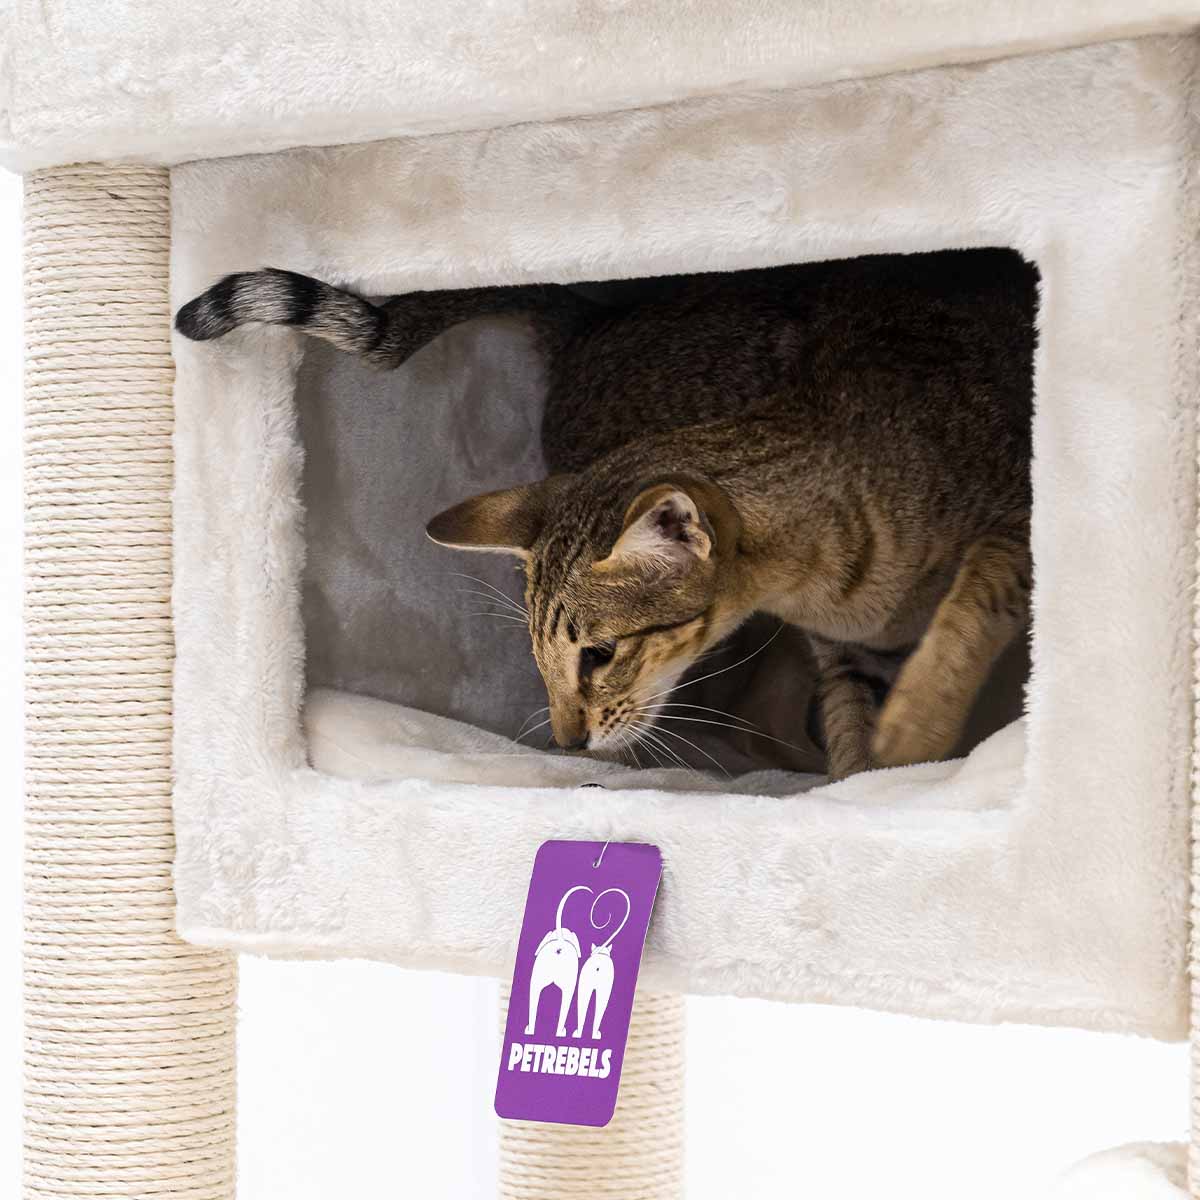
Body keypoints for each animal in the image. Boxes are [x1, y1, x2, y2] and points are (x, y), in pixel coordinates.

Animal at [176, 250, 1035, 778]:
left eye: (597, 655)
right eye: (543, 657)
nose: (567, 740)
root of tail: (591, 320)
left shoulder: (1013, 523)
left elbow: (968, 610)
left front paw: (913, 737)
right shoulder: (850, 655)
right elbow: (853, 733)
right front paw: (870, 778)